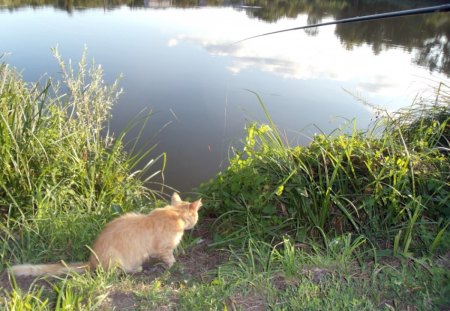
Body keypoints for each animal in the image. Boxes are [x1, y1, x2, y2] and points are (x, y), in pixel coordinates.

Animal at [9, 193, 202, 278]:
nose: (196, 222)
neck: (175, 214)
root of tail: (91, 260)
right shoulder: (164, 248)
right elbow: (170, 258)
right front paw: (173, 265)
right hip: (115, 259)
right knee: (117, 272)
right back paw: (136, 269)